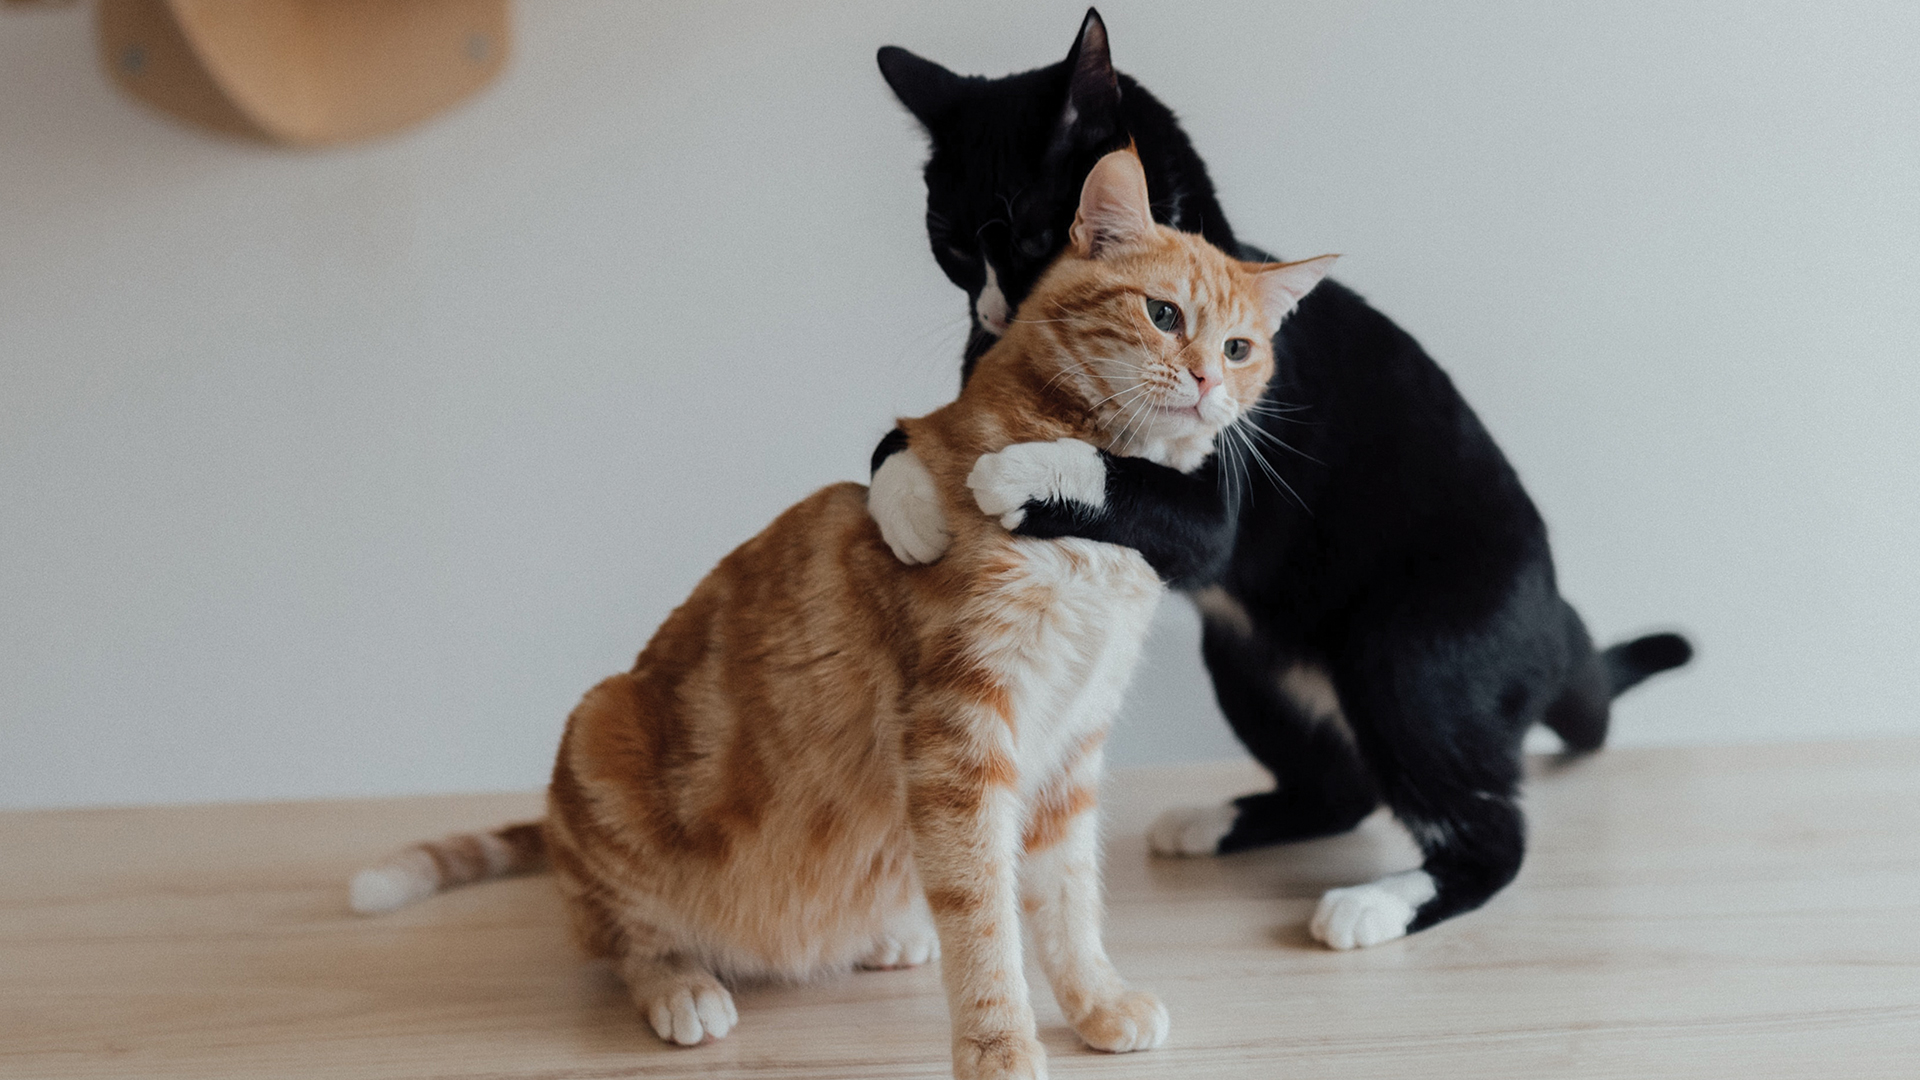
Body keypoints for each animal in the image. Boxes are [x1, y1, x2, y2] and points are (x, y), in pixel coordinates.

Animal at [875, 12, 1697, 945]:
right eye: (947, 244)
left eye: (1026, 237)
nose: (991, 311)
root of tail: (1558, 628)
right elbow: (902, 440)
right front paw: (908, 503)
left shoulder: (1214, 491)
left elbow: (1127, 479)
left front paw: (1008, 471)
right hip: (1247, 661)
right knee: (1343, 787)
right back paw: (1214, 820)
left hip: (1408, 656)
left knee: (1490, 833)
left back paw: (1375, 903)